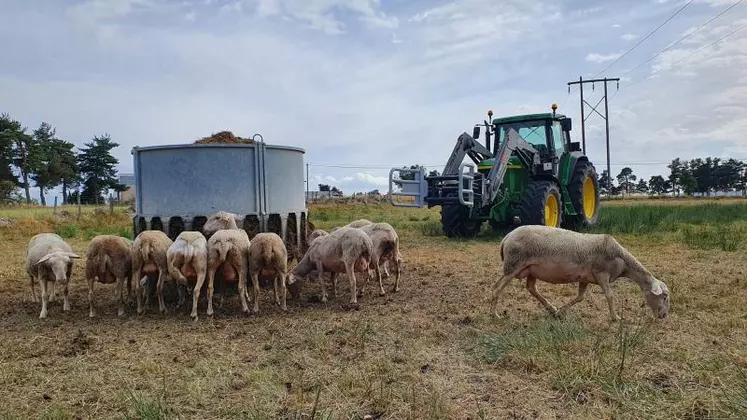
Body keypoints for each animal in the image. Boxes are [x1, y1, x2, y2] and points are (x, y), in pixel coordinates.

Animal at [490, 226, 672, 322]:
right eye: (664, 297)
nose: (664, 315)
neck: (623, 262)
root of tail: (506, 237)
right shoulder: (601, 273)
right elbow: (609, 295)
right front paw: (615, 318)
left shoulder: (585, 278)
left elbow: (580, 297)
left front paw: (560, 311)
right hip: (513, 265)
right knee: (497, 288)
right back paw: (494, 314)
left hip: (530, 269)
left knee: (531, 288)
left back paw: (551, 308)